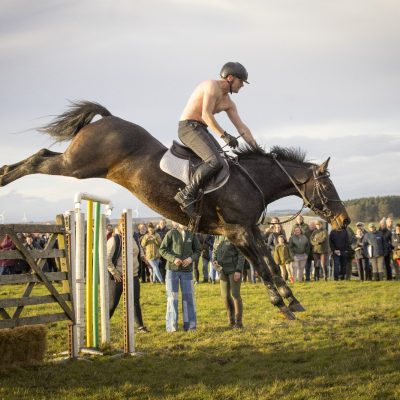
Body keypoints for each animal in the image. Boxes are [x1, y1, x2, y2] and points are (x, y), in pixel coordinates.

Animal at [0, 101, 350, 320]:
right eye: (328, 188)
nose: (344, 220)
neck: (251, 181)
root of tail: (108, 119)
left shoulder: (249, 230)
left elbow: (271, 265)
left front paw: (292, 300)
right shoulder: (237, 232)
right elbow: (263, 268)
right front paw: (283, 305)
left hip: (79, 164)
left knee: (45, 154)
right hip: (79, 165)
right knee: (39, 158)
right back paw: (3, 176)